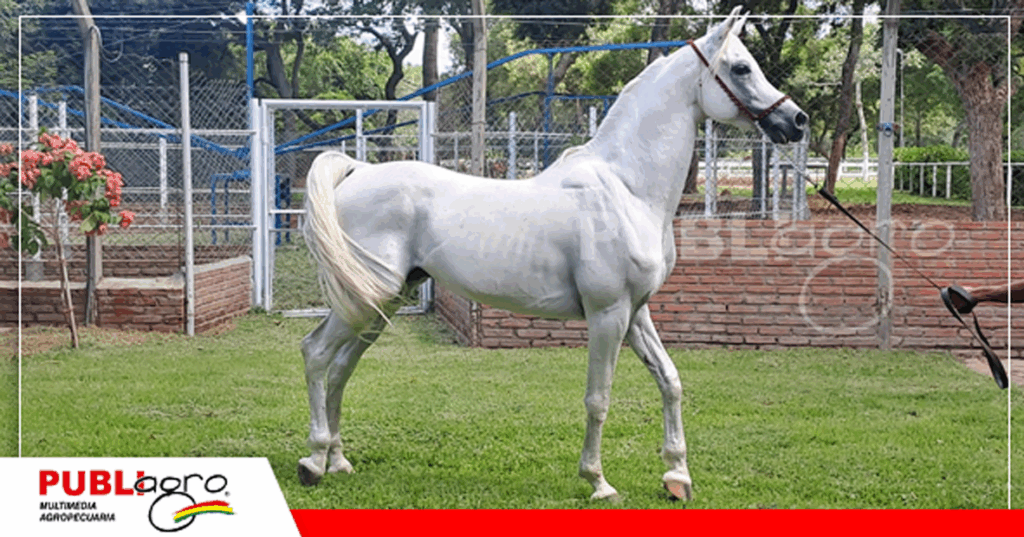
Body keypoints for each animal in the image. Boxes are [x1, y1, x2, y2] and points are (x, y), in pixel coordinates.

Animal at [297, 6, 807, 501]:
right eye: (741, 68)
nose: (797, 121)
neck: (627, 188)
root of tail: (357, 171)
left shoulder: (636, 312)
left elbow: (670, 379)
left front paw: (677, 477)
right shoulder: (608, 314)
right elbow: (598, 398)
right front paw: (598, 481)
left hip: (382, 301)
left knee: (341, 368)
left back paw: (338, 461)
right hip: (368, 299)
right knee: (317, 354)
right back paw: (313, 462)